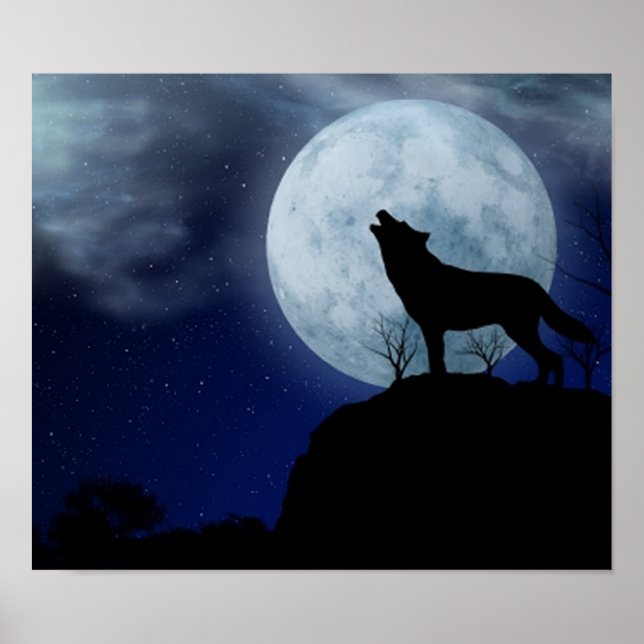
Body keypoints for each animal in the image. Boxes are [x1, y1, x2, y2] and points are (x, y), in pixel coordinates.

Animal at [370, 210, 596, 385]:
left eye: (400, 224)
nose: (382, 210)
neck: (414, 271)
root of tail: (536, 285)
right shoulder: (434, 329)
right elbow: (438, 360)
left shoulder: (432, 328)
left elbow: (436, 360)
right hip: (520, 332)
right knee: (549, 360)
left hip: (519, 331)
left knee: (552, 359)